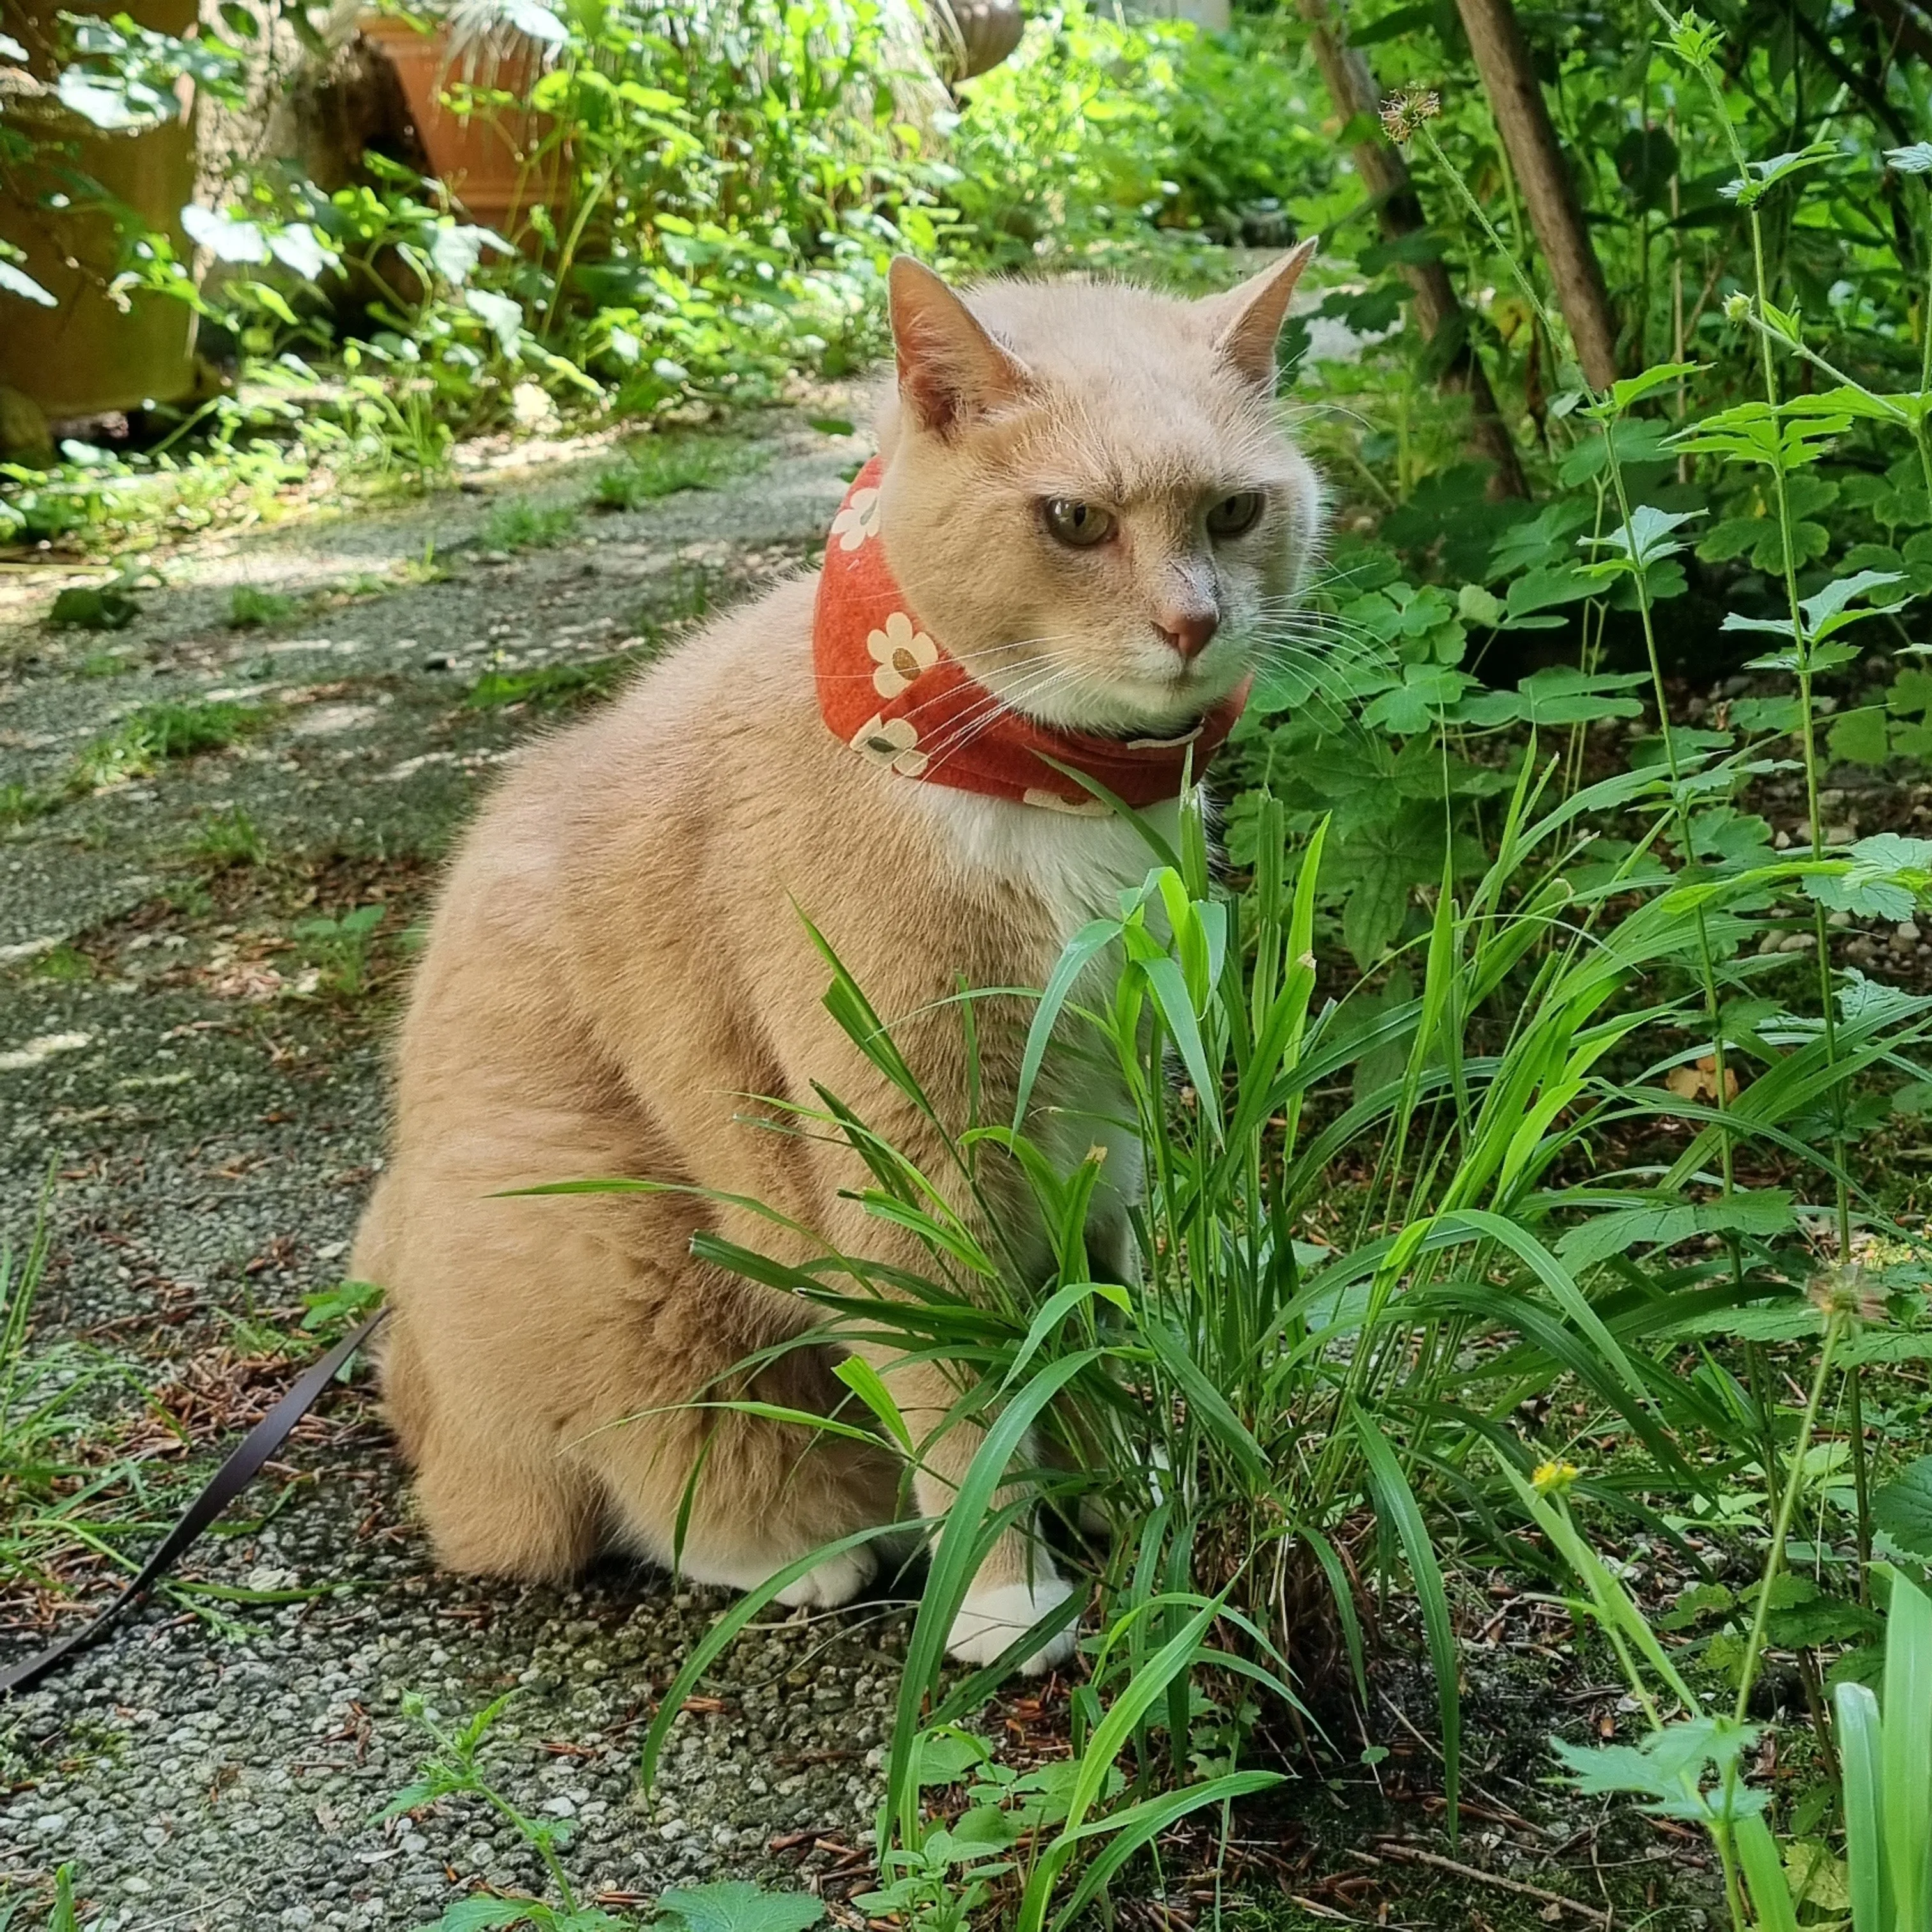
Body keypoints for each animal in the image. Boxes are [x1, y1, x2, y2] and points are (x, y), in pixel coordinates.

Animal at [355, 249, 1329, 1676]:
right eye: (1073, 522)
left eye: (1234, 510)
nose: (1191, 621)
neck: (1035, 778)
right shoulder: (906, 1145)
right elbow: (959, 1393)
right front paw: (1003, 1592)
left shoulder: (1097, 1119)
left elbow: (1079, 1329)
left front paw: (1117, 1479)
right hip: (621, 1256)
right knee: (634, 1477)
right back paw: (797, 1549)